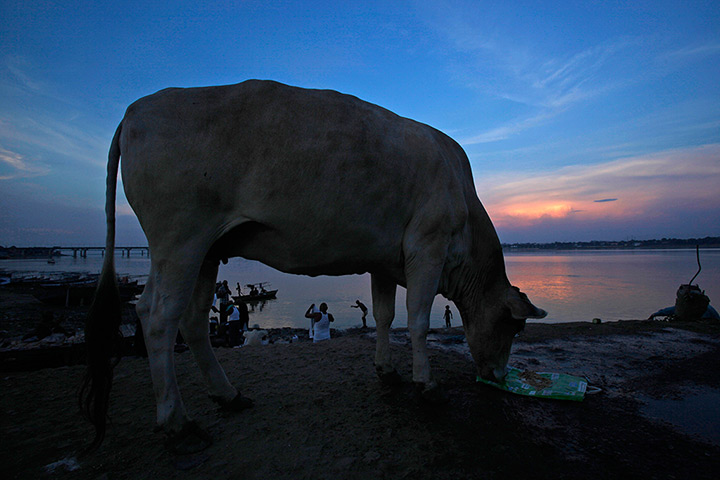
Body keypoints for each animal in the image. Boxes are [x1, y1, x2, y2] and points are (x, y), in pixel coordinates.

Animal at [80, 80, 546, 454]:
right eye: (515, 326)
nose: (499, 377)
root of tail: (137, 109)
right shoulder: (427, 248)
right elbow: (416, 320)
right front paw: (426, 386)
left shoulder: (385, 260)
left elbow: (383, 315)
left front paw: (387, 370)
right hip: (179, 239)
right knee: (158, 316)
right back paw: (178, 424)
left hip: (208, 249)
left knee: (193, 320)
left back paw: (228, 394)